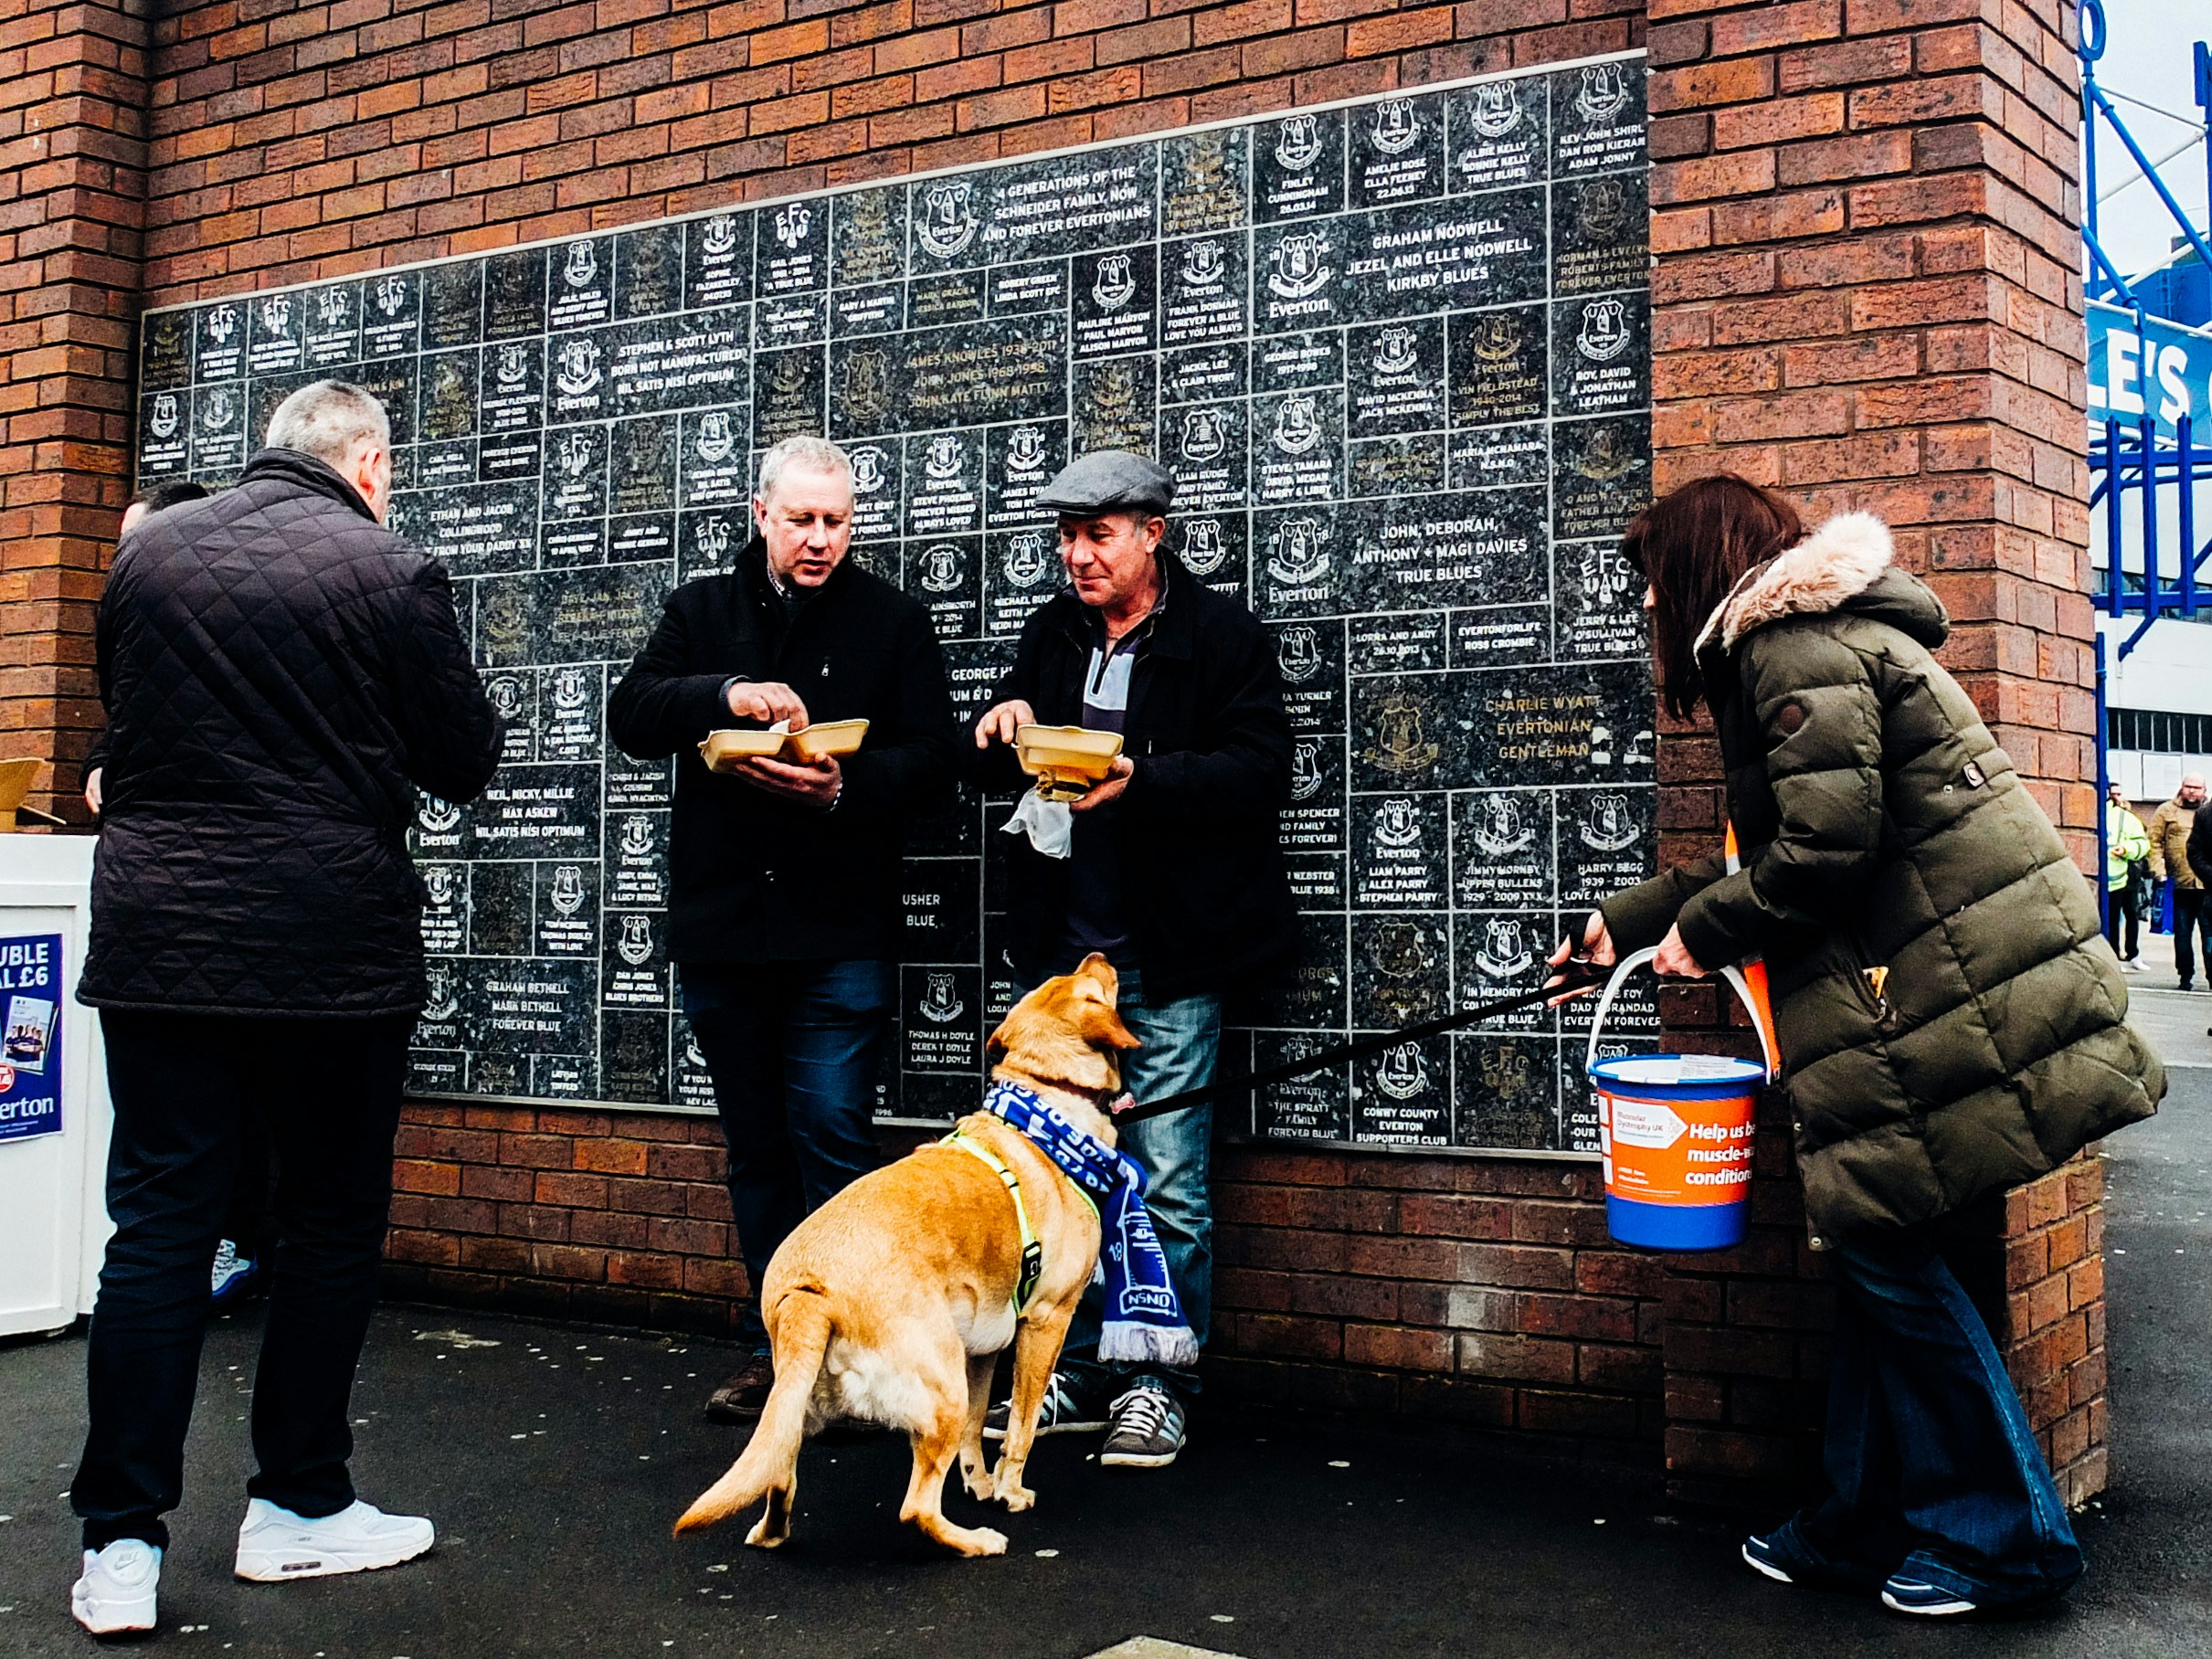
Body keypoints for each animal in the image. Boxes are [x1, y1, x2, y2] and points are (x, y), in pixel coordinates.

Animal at [672, 956, 1132, 1557]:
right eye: (1094, 989)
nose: (1098, 955)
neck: (1047, 1108)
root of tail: (810, 1292)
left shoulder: (983, 1347)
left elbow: (977, 1429)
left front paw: (979, 1483)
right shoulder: (1046, 1320)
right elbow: (1023, 1425)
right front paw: (1009, 1492)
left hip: (799, 1402)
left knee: (779, 1473)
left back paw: (771, 1533)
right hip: (941, 1385)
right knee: (916, 1508)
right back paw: (976, 1541)